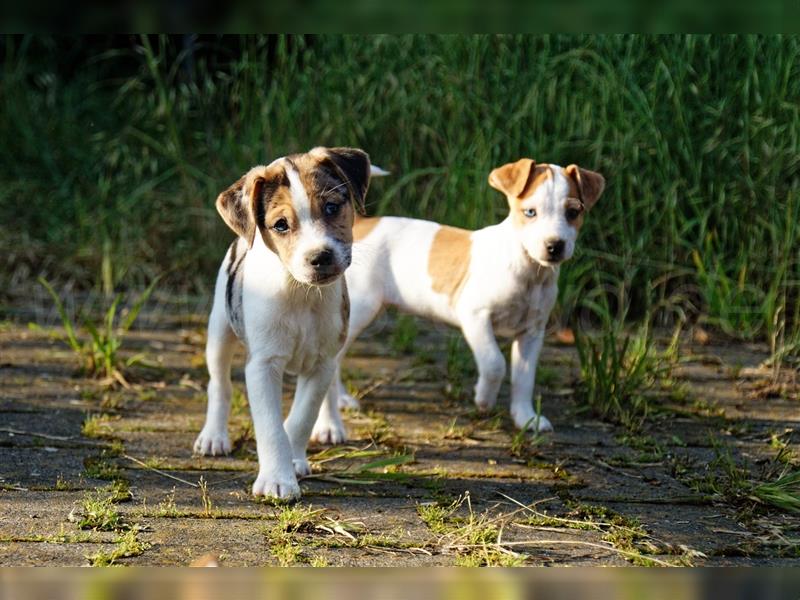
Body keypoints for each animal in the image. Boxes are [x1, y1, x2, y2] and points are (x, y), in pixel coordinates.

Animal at [197, 146, 376, 502]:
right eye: (280, 225)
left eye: (332, 207)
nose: (320, 257)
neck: (300, 293)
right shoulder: (263, 365)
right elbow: (271, 428)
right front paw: (277, 480)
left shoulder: (321, 363)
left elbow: (301, 418)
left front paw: (293, 460)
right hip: (220, 331)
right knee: (219, 384)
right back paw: (214, 436)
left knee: (330, 391)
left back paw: (330, 426)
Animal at [310, 159, 604, 446]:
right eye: (530, 212)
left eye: (573, 213)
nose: (554, 246)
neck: (527, 268)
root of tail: (362, 224)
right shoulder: (475, 316)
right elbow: (495, 363)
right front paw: (484, 398)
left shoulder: (532, 332)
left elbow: (524, 377)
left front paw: (526, 417)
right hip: (361, 310)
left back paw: (342, 398)